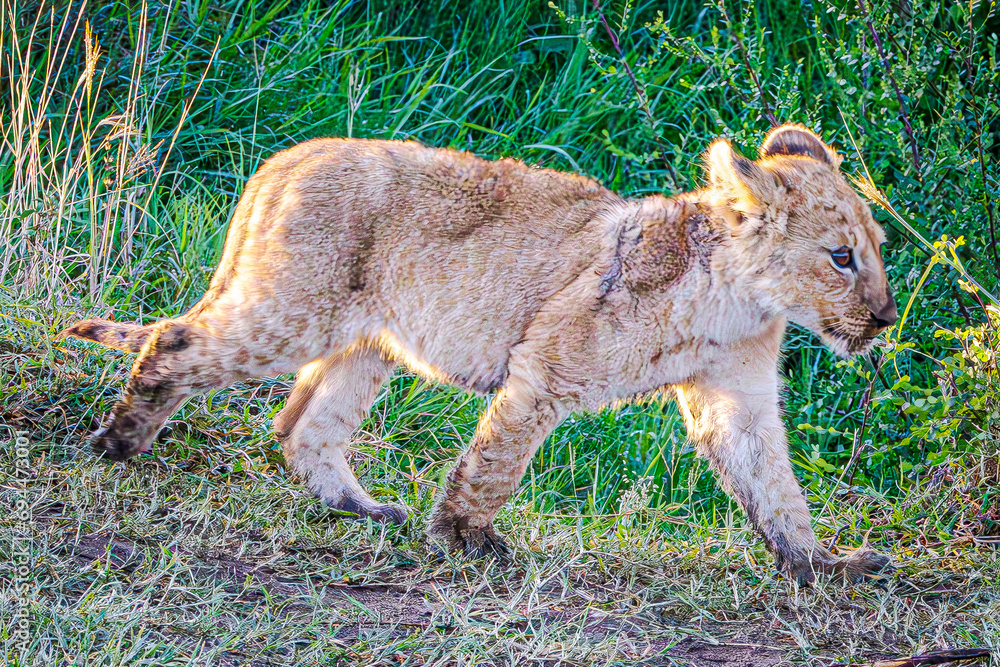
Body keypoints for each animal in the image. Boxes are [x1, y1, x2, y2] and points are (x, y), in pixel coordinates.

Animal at [60, 123, 897, 584]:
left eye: (876, 250)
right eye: (842, 257)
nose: (886, 317)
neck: (742, 300)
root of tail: (284, 159)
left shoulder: (739, 399)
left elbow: (776, 489)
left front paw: (822, 566)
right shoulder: (549, 364)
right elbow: (497, 460)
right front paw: (465, 538)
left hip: (366, 339)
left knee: (303, 426)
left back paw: (362, 508)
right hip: (292, 312)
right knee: (175, 341)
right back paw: (117, 441)